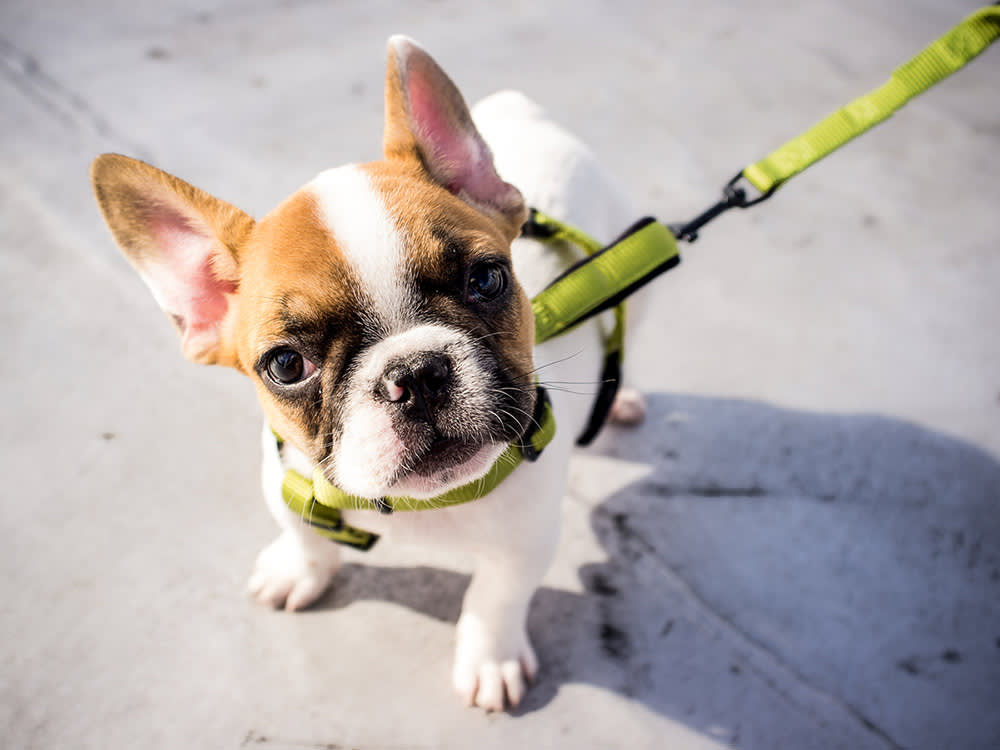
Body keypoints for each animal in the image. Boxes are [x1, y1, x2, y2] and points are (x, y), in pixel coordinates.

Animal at [94, 36, 640, 716]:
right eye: (286, 364)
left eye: (486, 279)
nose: (417, 373)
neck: (417, 505)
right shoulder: (284, 482)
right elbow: (304, 533)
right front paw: (298, 570)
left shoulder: (526, 541)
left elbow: (494, 599)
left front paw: (489, 660)